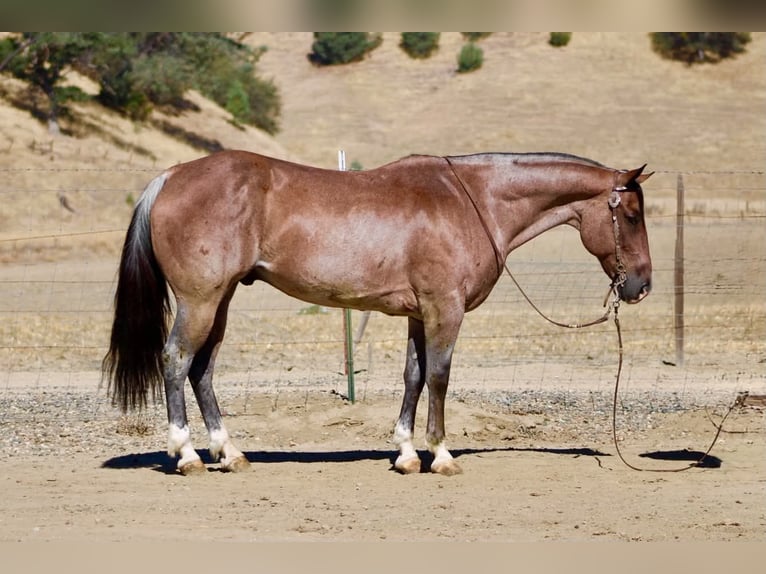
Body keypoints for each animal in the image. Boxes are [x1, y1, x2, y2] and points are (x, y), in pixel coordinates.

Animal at [102, 150, 652, 476]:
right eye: (631, 215)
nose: (642, 285)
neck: (471, 201)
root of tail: (170, 176)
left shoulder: (418, 314)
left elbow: (413, 376)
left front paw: (406, 454)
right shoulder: (445, 309)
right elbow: (439, 377)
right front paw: (441, 455)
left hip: (221, 301)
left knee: (202, 370)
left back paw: (229, 453)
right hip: (201, 300)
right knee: (176, 361)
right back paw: (187, 455)